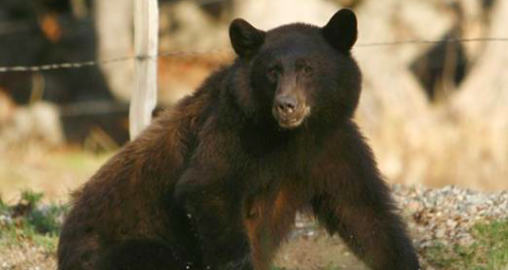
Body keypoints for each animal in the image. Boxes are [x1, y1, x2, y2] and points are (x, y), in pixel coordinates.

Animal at [57, 8, 418, 270]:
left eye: (307, 68)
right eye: (272, 70)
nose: (286, 105)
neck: (292, 137)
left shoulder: (332, 146)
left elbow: (364, 212)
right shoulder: (233, 131)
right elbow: (210, 186)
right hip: (120, 245)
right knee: (154, 256)